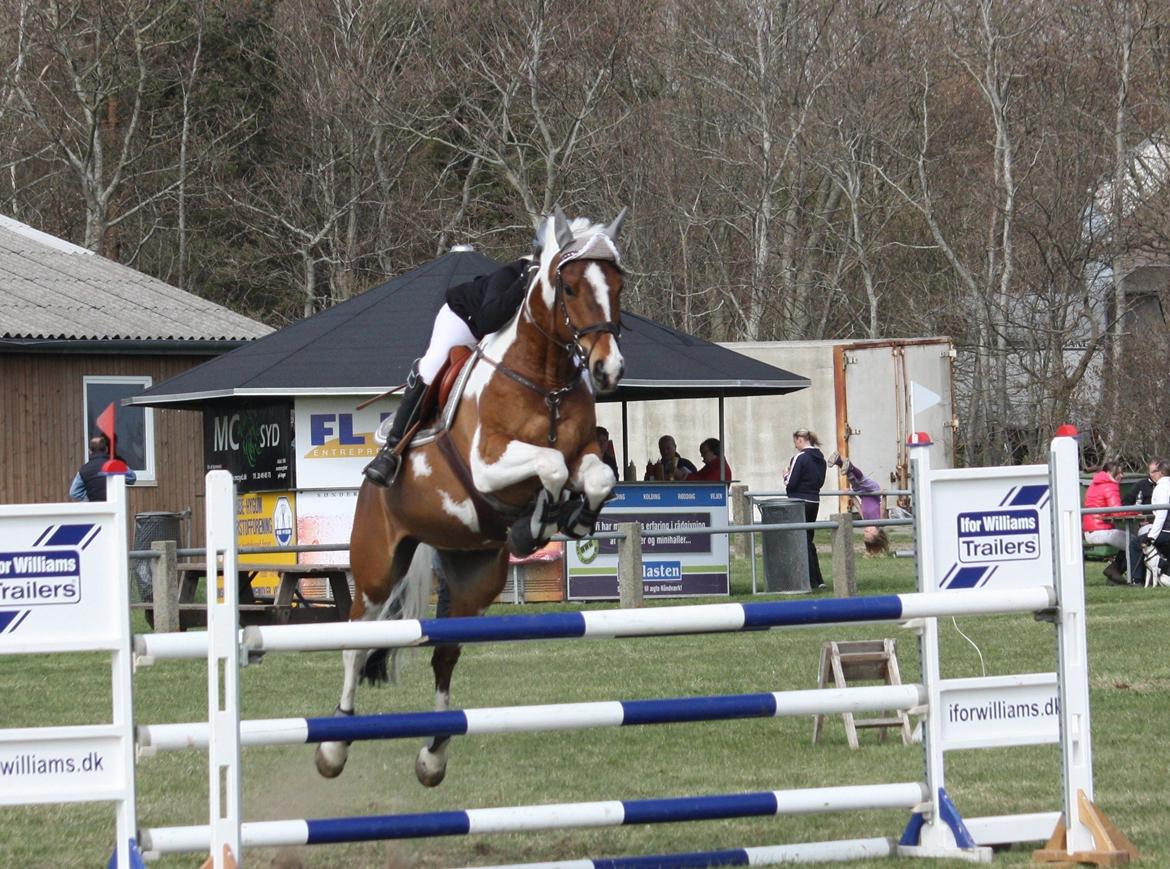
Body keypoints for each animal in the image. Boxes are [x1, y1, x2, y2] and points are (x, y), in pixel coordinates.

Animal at [315, 209, 627, 790]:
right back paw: (333, 745)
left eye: (619, 287)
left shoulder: (583, 456)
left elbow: (594, 477)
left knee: (445, 655)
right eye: (572, 288)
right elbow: (550, 466)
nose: (608, 370)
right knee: (356, 643)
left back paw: (434, 754)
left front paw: (565, 519)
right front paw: (538, 521)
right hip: (375, 570)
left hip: (474, 577)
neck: (544, 380)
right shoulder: (487, 465)